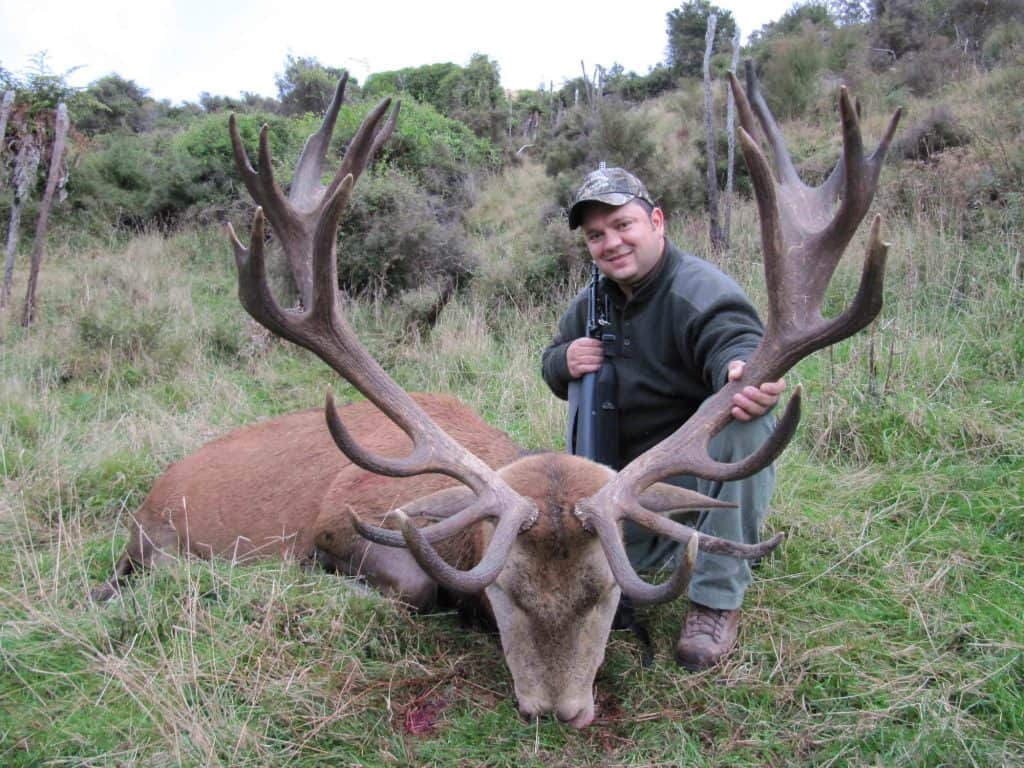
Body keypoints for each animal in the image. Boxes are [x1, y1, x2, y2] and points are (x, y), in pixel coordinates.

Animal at [93, 65, 900, 729]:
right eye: (504, 591)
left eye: (608, 594)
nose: (557, 709)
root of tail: (148, 497)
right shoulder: (343, 521)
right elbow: (414, 590)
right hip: (146, 549)